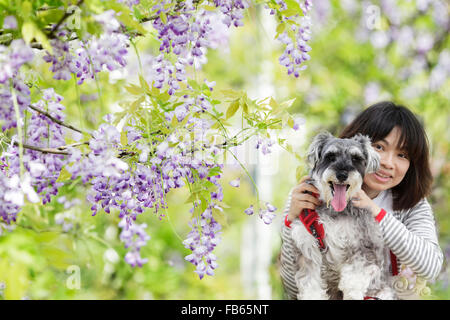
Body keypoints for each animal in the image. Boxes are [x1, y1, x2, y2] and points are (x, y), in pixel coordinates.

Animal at [290, 132, 396, 300]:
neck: (334, 210)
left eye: (356, 158)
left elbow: (353, 281)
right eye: (330, 156)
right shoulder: (308, 248)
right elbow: (310, 284)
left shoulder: (361, 246)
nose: (341, 174)